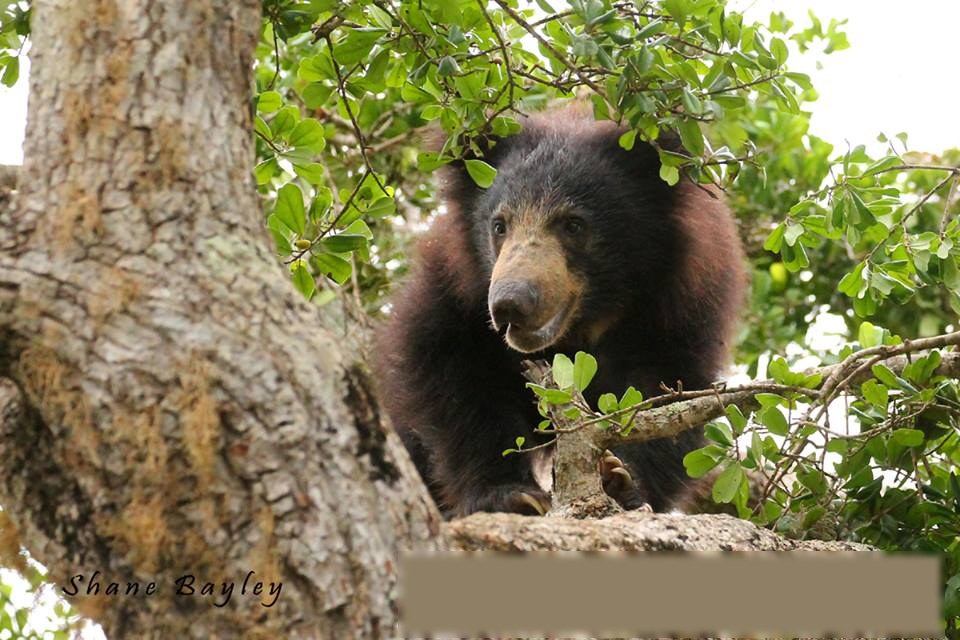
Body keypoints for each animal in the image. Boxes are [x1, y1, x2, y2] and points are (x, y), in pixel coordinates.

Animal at [374, 107, 746, 518]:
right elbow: (453, 379)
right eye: (499, 225)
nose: (510, 304)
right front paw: (510, 496)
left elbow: (669, 395)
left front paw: (620, 480)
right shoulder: (455, 292)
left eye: (573, 224)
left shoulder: (679, 312)